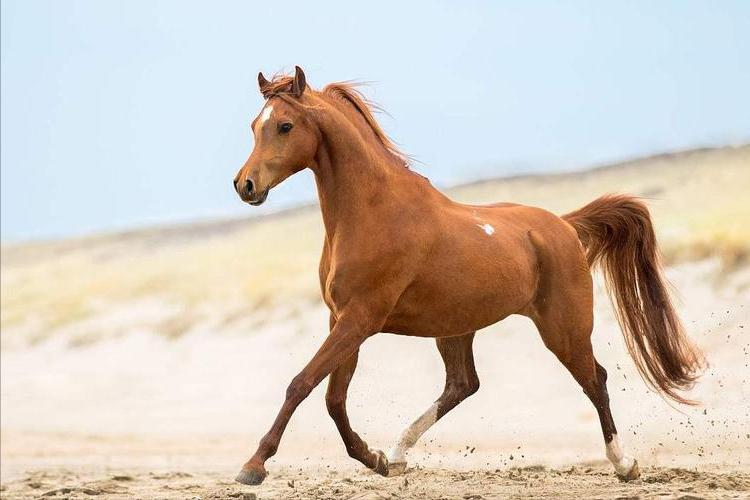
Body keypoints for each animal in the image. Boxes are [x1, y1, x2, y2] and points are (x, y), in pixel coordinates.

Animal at [231, 66, 704, 486]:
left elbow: (302, 384)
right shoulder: (342, 318)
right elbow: (333, 399)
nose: (245, 185)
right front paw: (375, 459)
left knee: (595, 381)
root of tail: (564, 225)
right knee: (463, 384)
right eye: (255, 125)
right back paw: (398, 453)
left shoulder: (360, 319)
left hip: (564, 329)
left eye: (285, 126)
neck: (373, 212)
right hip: (455, 328)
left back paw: (625, 465)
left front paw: (254, 466)